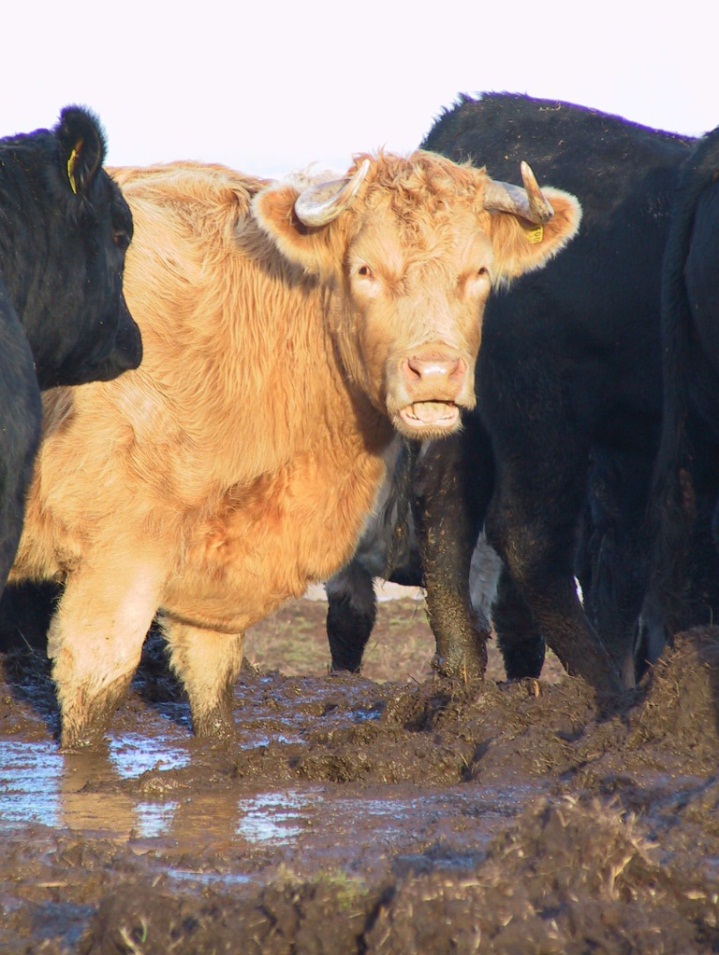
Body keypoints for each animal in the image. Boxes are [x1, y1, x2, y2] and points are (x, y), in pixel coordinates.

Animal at [11, 151, 584, 748]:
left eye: (479, 273)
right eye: (365, 270)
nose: (433, 371)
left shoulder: (214, 575)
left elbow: (213, 689)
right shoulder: (120, 554)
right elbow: (94, 689)